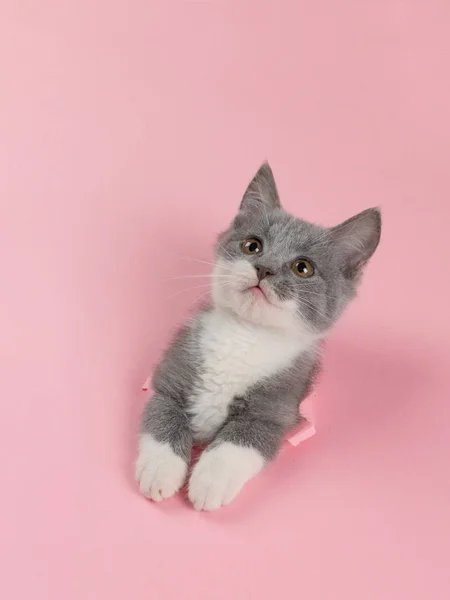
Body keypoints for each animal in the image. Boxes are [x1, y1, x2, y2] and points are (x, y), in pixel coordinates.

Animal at [135, 163, 382, 510]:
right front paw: (160, 470)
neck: (245, 335)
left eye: (303, 267)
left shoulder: (278, 406)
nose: (263, 268)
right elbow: (162, 416)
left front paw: (210, 481)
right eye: (252, 245)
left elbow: (240, 442)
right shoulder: (173, 371)